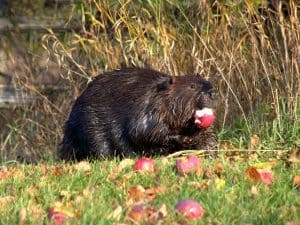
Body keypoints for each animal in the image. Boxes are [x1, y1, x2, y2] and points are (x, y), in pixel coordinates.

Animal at [59, 67, 217, 160]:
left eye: (207, 81)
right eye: (192, 86)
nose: (212, 92)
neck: (159, 95)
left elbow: (208, 135)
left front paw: (208, 151)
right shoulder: (149, 109)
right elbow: (142, 132)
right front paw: (183, 139)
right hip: (90, 126)